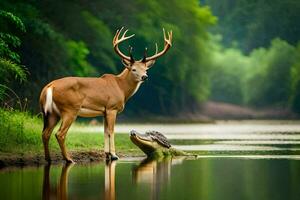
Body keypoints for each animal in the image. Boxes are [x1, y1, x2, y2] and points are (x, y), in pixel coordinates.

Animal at [38, 27, 172, 162]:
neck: (121, 88)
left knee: (45, 133)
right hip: (70, 108)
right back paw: (69, 159)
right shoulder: (112, 108)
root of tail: (49, 87)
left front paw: (107, 154)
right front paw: (114, 155)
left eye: (146, 69)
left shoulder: (104, 111)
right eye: (133, 69)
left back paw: (48, 158)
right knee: (60, 133)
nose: (145, 77)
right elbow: (111, 131)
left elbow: (105, 131)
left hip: (52, 112)